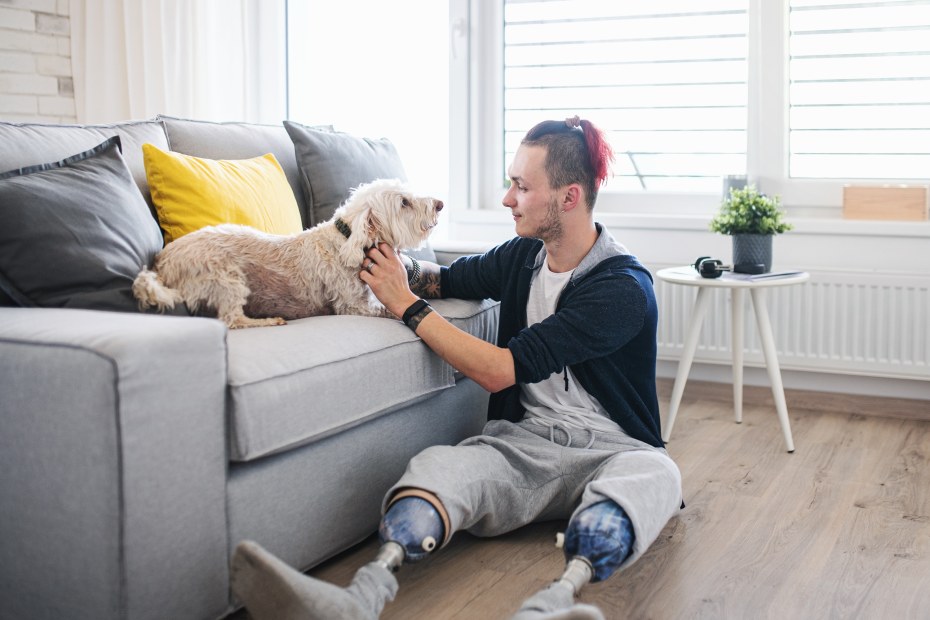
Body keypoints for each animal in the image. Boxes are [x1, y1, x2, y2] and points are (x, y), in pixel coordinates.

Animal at [131, 177, 446, 326]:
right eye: (404, 202)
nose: (440, 204)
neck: (344, 241)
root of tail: (162, 264)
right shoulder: (352, 306)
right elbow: (387, 310)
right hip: (226, 279)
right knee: (232, 321)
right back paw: (267, 321)